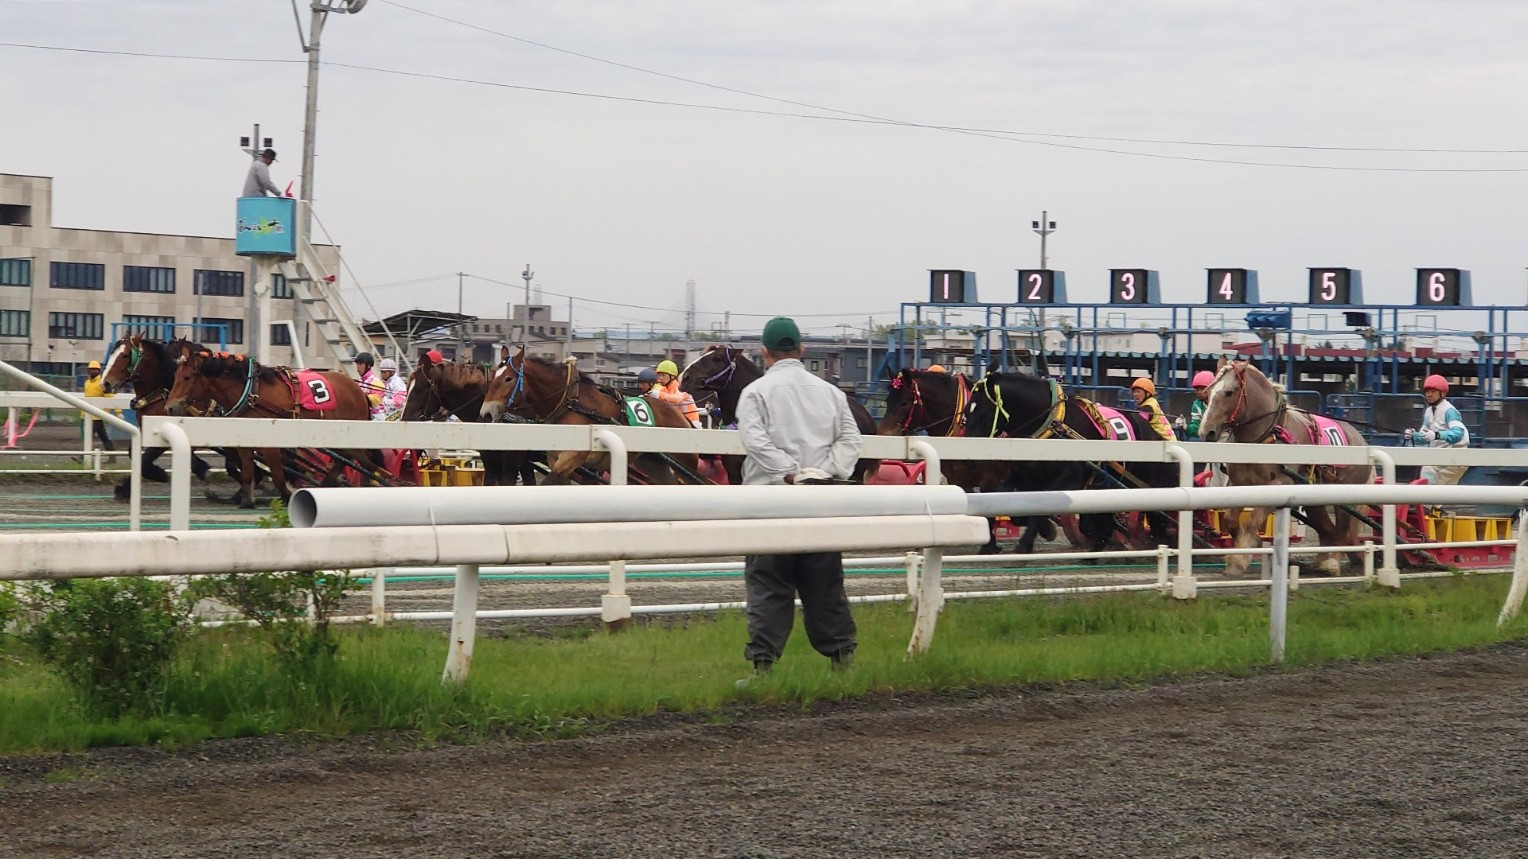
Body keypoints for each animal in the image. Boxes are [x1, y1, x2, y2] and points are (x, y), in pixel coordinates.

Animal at [165, 350, 377, 507]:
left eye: (187, 377)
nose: (170, 408)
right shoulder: (245, 442)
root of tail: (358, 390)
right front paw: (247, 501)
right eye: (174, 375)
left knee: (363, 461)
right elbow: (248, 471)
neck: (252, 392)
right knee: (347, 459)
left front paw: (287, 496)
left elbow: (276, 474)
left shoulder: (270, 444)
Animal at [479, 345, 699, 482]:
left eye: (508, 378)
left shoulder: (572, 458)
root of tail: (682, 417)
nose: (485, 413)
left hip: (685, 462)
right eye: (494, 375)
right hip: (653, 462)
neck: (569, 402)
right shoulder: (556, 459)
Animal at [953, 371, 1179, 550]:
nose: (968, 456)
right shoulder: (1024, 475)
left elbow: (1044, 506)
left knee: (1153, 515)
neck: (1054, 425)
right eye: (966, 411)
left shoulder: (1068, 479)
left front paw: (1025, 545)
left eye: (984, 413)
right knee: (1106, 523)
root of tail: (1152, 431)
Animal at [1197, 354, 1381, 574]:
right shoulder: (1239, 483)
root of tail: (1361, 440)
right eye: (1207, 395)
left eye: (1229, 392)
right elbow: (1231, 520)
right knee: (1328, 531)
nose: (1206, 432)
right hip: (1315, 499)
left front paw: (1243, 554)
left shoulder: (1281, 483)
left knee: (1342, 532)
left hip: (1345, 498)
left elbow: (1252, 521)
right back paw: (1322, 562)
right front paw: (1238, 556)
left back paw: (1332, 563)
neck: (1268, 435)